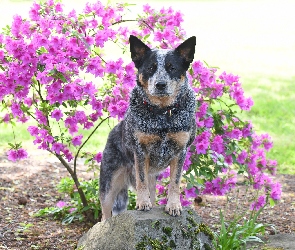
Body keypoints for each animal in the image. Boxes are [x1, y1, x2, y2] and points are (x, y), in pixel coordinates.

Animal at [99, 35, 197, 221]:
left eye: (172, 68)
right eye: (151, 68)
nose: (160, 84)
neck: (163, 114)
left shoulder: (180, 151)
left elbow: (175, 182)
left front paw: (174, 205)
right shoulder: (140, 150)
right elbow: (141, 180)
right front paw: (142, 203)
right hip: (109, 182)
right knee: (105, 214)